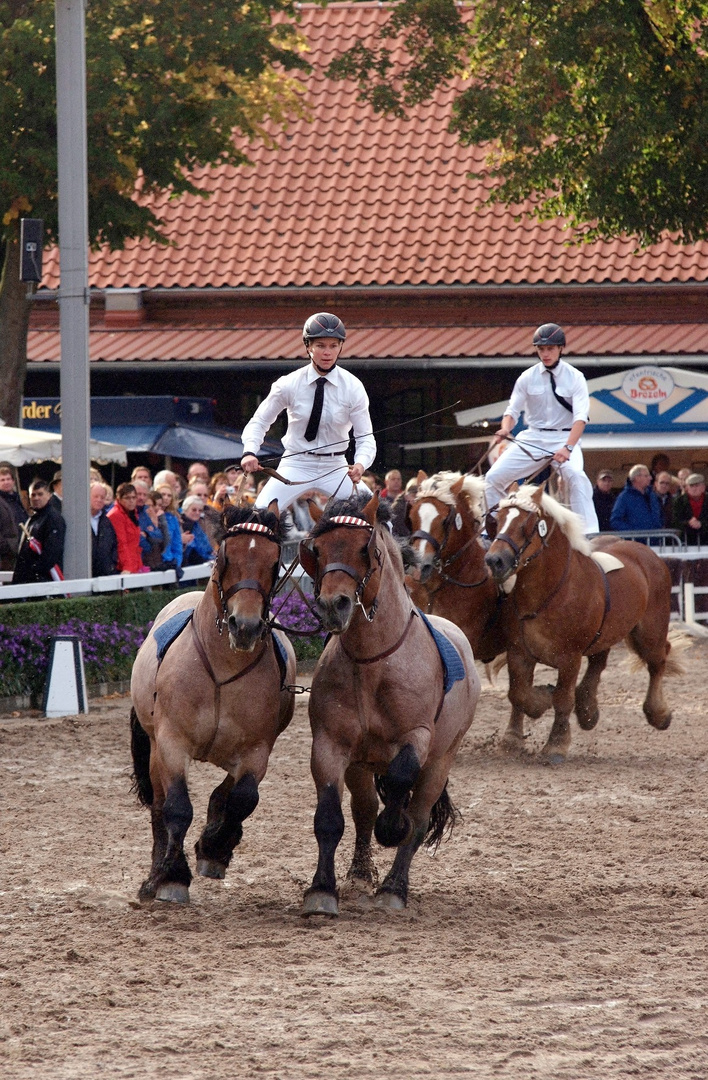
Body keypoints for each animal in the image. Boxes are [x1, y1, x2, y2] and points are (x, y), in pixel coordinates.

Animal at [130, 505, 295, 902]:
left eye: (274, 562)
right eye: (224, 557)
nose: (244, 626)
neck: (223, 667)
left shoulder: (256, 751)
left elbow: (242, 799)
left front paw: (214, 849)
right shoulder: (171, 744)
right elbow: (176, 808)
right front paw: (171, 877)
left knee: (226, 792)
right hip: (155, 749)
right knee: (159, 807)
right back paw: (155, 875)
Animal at [297, 494, 481, 915]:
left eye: (367, 550)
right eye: (316, 550)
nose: (333, 605)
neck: (372, 663)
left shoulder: (417, 738)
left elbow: (400, 786)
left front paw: (392, 827)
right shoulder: (330, 745)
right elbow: (330, 818)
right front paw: (321, 891)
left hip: (441, 760)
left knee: (418, 816)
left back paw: (394, 888)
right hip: (360, 766)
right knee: (364, 810)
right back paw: (361, 875)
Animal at [483, 486, 677, 764]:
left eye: (526, 524)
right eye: (496, 522)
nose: (494, 560)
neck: (550, 592)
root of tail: (646, 552)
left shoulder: (569, 658)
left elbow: (563, 698)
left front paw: (556, 744)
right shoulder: (519, 653)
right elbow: (518, 693)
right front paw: (535, 710)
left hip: (650, 632)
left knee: (657, 661)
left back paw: (658, 713)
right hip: (606, 631)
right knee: (599, 661)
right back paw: (587, 709)